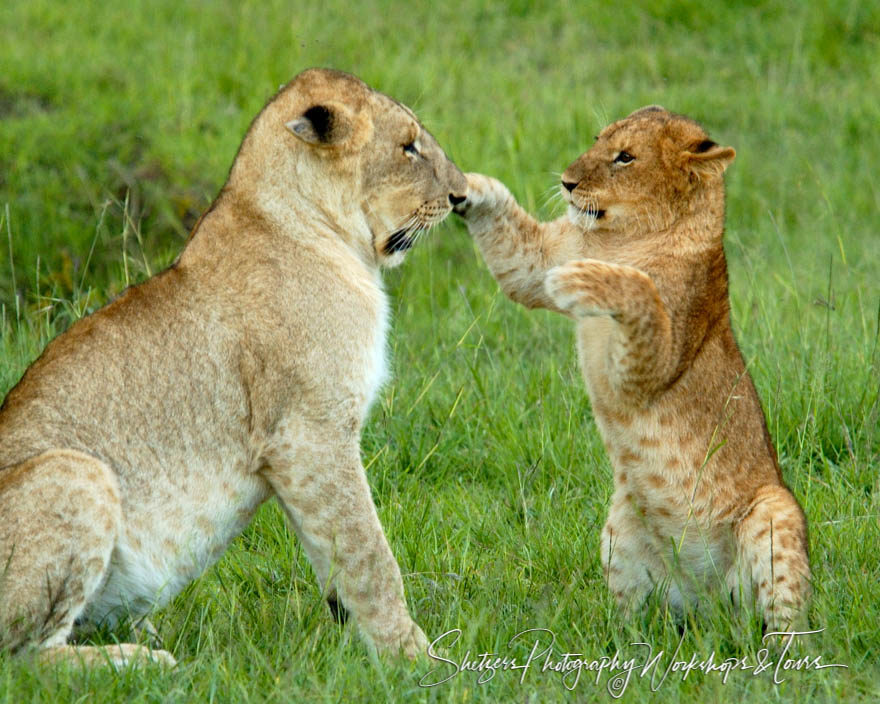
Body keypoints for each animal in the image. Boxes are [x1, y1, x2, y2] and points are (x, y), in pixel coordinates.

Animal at [0, 67, 468, 664]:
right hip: (74, 470)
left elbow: (335, 558)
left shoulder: (299, 454)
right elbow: (369, 554)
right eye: (408, 146)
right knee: (27, 658)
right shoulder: (310, 434)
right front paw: (416, 660)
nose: (460, 196)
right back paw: (145, 662)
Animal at [460, 107, 812, 628]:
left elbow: (638, 289)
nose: (566, 182)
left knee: (790, 622)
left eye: (625, 157)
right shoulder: (537, 261)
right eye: (597, 139)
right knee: (636, 623)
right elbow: (511, 237)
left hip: (774, 510)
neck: (619, 240)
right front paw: (462, 181)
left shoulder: (651, 366)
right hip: (620, 526)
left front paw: (584, 278)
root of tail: (710, 608)